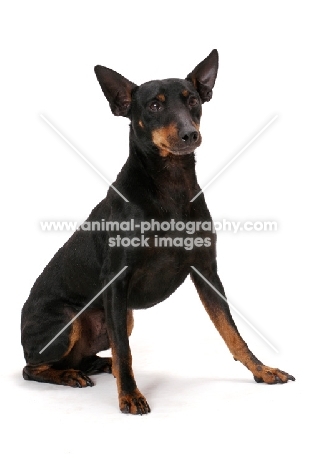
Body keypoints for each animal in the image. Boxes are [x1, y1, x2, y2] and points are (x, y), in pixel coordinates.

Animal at [22, 51, 294, 414]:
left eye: (193, 101)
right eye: (153, 106)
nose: (190, 134)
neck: (171, 184)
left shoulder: (205, 270)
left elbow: (232, 332)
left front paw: (262, 370)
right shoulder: (116, 281)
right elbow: (125, 351)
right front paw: (130, 396)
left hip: (122, 317)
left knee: (88, 354)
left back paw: (97, 365)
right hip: (70, 321)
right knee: (33, 368)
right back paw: (70, 375)